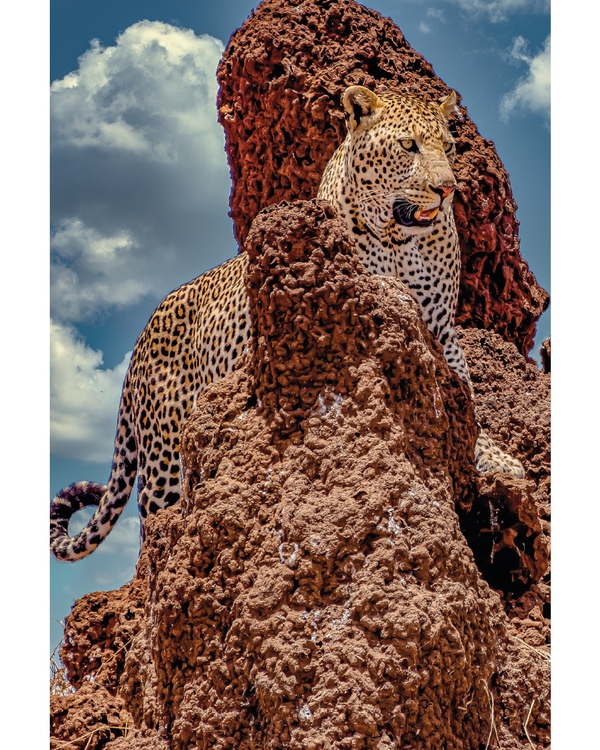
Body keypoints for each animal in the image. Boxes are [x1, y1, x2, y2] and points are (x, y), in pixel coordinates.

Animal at [50, 84, 524, 562]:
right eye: (408, 145)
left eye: (449, 147)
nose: (446, 189)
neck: (401, 241)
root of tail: (142, 338)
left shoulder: (440, 330)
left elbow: (465, 399)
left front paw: (496, 457)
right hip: (163, 459)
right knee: (155, 526)